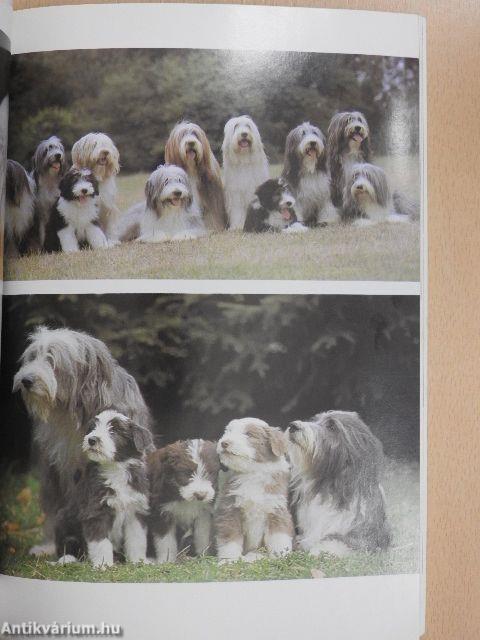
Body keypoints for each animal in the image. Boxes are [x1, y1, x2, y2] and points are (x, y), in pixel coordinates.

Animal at [12, 328, 153, 556]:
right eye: (33, 356)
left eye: (52, 358)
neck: (74, 412)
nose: (26, 380)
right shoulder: (53, 468)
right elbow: (54, 506)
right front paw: (48, 545)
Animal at [215, 416, 292, 560]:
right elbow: (230, 539)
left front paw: (281, 557)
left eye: (249, 434)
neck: (252, 472)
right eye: (228, 431)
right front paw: (229, 560)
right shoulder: (230, 510)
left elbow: (279, 537)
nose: (224, 443)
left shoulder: (276, 509)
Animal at [284, 410, 390, 556]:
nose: (293, 426)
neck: (330, 486)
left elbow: (335, 542)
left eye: (331, 427)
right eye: (315, 420)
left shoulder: (360, 538)